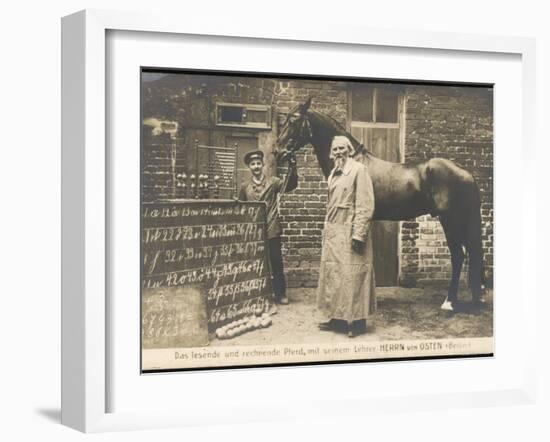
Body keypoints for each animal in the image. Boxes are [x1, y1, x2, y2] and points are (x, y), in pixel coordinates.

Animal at [278, 97, 486, 310]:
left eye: (294, 120)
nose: (279, 152)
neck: (353, 163)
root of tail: (466, 173)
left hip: (450, 220)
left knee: (458, 255)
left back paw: (449, 301)